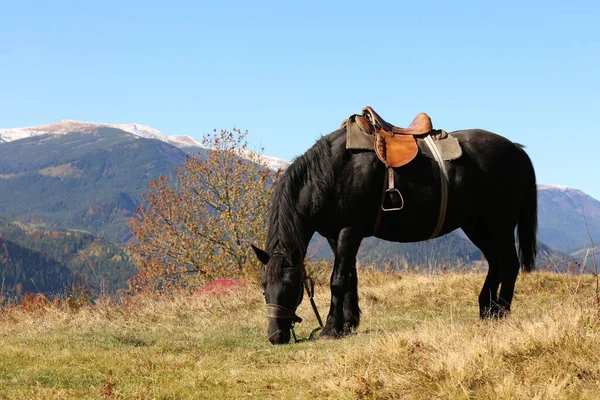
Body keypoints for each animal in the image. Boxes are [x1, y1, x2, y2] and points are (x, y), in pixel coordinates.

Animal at [251, 119, 536, 344]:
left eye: (291, 286)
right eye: (264, 288)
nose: (275, 336)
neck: (332, 172)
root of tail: (517, 150)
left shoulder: (349, 231)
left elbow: (338, 280)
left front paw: (331, 328)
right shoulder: (335, 235)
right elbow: (350, 277)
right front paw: (349, 323)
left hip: (499, 224)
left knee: (509, 264)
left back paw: (502, 312)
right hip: (477, 226)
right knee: (495, 263)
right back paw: (487, 310)